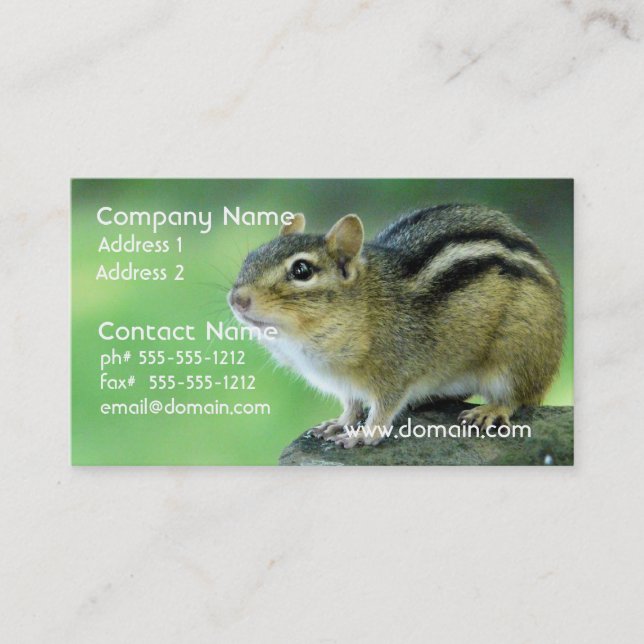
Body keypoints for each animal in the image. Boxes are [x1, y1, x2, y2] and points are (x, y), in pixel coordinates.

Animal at [228, 205, 565, 448]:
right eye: (251, 257)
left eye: (302, 270)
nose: (237, 299)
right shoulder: (345, 384)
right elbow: (351, 404)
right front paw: (341, 422)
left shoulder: (396, 372)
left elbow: (383, 410)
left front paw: (363, 434)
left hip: (517, 355)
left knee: (517, 397)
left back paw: (491, 410)